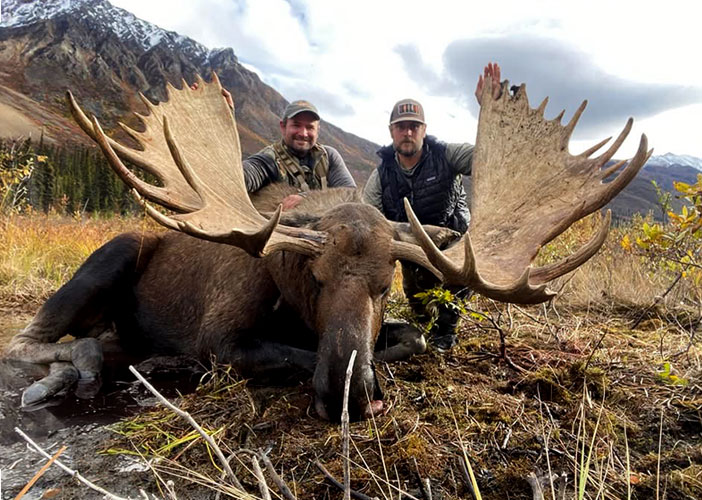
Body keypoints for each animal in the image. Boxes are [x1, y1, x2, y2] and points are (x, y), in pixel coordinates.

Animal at [2, 72, 650, 421]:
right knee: (31, 338)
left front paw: (381, 372)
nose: (350, 392)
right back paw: (81, 364)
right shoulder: (219, 337)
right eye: (314, 278)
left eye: (386, 287)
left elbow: (412, 339)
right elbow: (291, 353)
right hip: (115, 251)